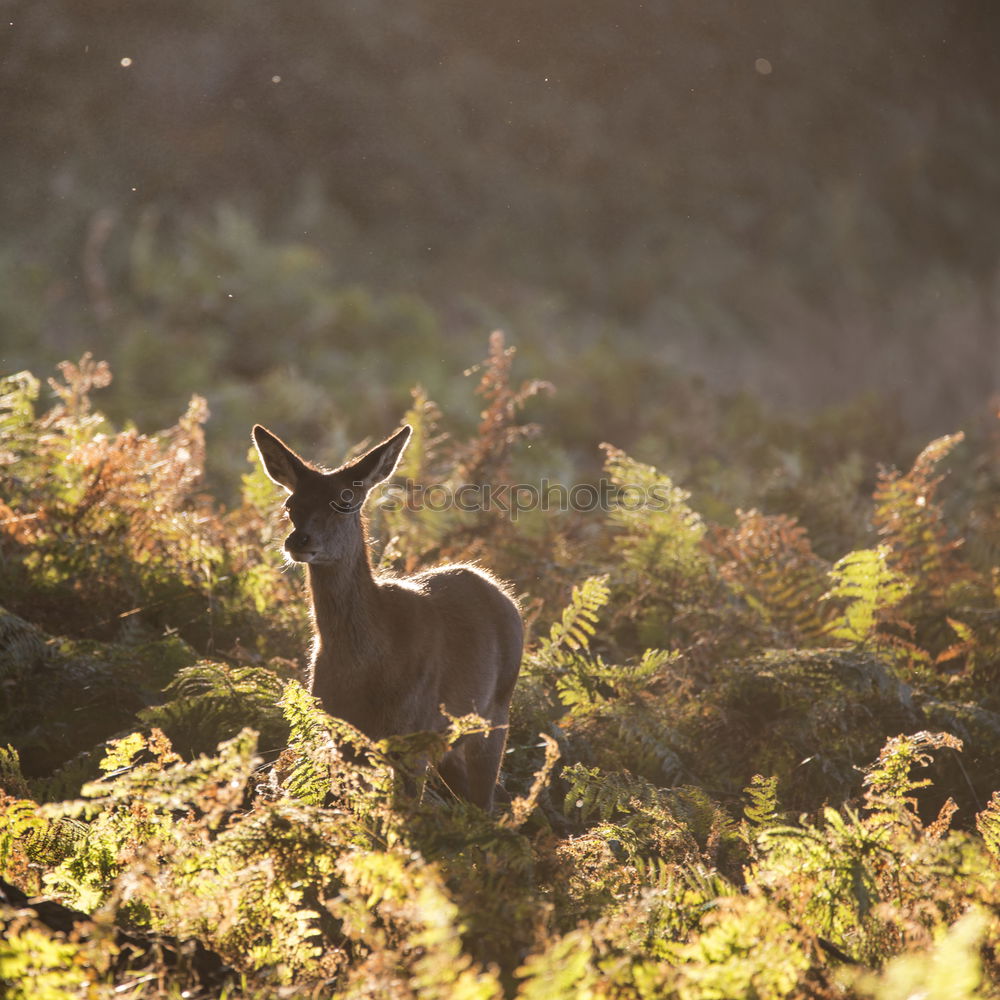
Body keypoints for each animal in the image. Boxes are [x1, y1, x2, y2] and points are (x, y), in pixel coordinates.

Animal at [252, 422, 524, 812]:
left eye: (345, 501)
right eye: (291, 505)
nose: (299, 540)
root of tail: (502, 592)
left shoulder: (413, 733)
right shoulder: (342, 736)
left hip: (496, 712)